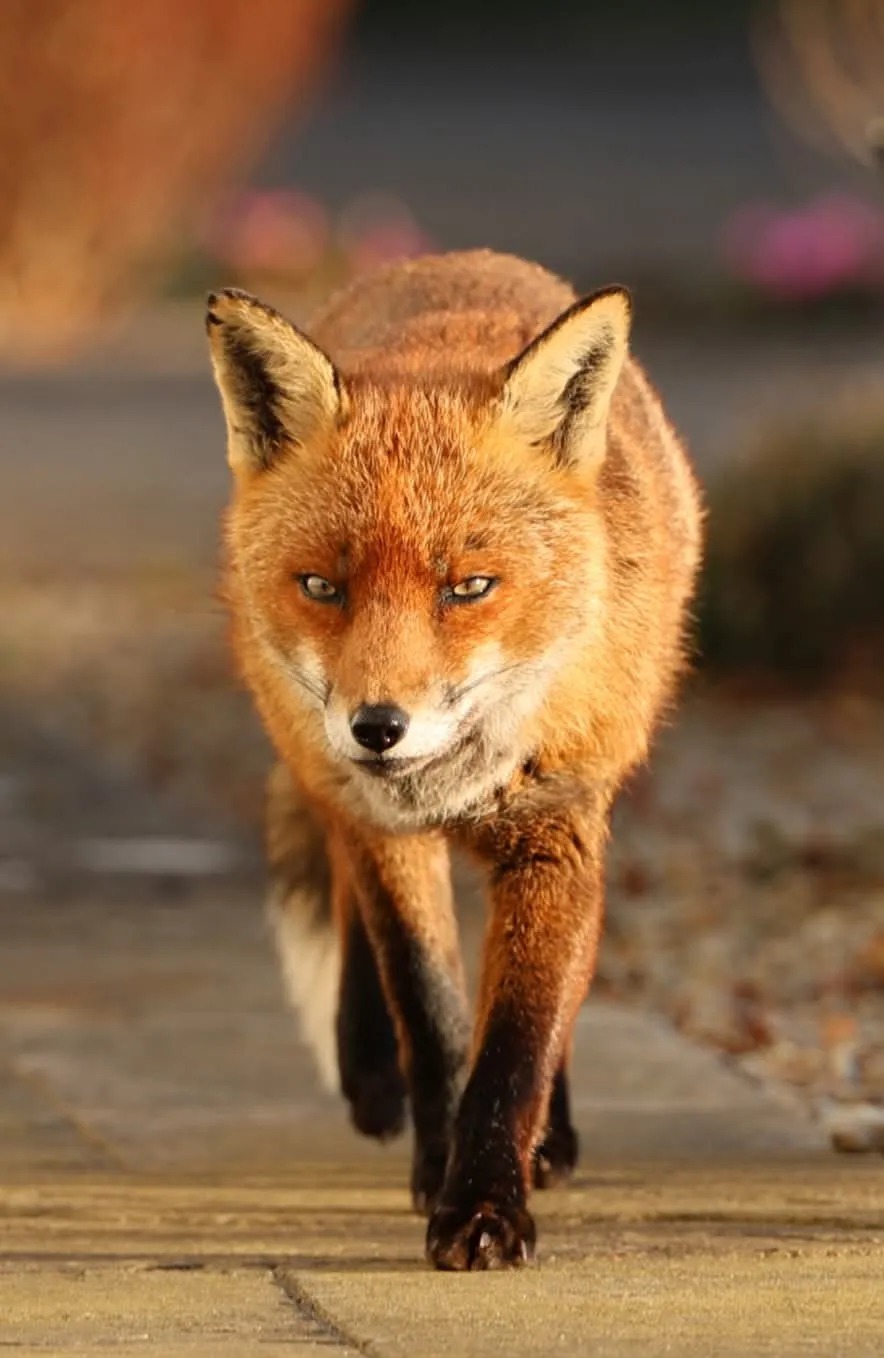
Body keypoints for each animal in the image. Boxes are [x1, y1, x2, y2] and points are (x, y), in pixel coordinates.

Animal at [206, 249, 702, 1271]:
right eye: (323, 586)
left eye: (469, 587)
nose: (377, 727)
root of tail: (461, 260)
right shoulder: (387, 830)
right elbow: (429, 1010)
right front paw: (441, 1170)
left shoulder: (558, 832)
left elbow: (519, 1036)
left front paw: (485, 1206)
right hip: (324, 775)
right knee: (349, 900)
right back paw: (368, 1071)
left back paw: (550, 1137)